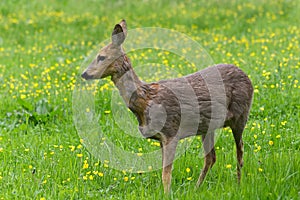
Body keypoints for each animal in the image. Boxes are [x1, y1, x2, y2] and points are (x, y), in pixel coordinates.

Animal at [81, 19, 252, 194]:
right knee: (211, 157)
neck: (145, 101)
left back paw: (239, 185)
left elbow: (166, 173)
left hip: (241, 116)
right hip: (208, 126)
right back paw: (196, 188)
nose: (84, 74)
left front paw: (167, 194)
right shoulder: (160, 138)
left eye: (101, 57)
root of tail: (245, 75)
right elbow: (163, 171)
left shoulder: (171, 132)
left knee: (240, 152)